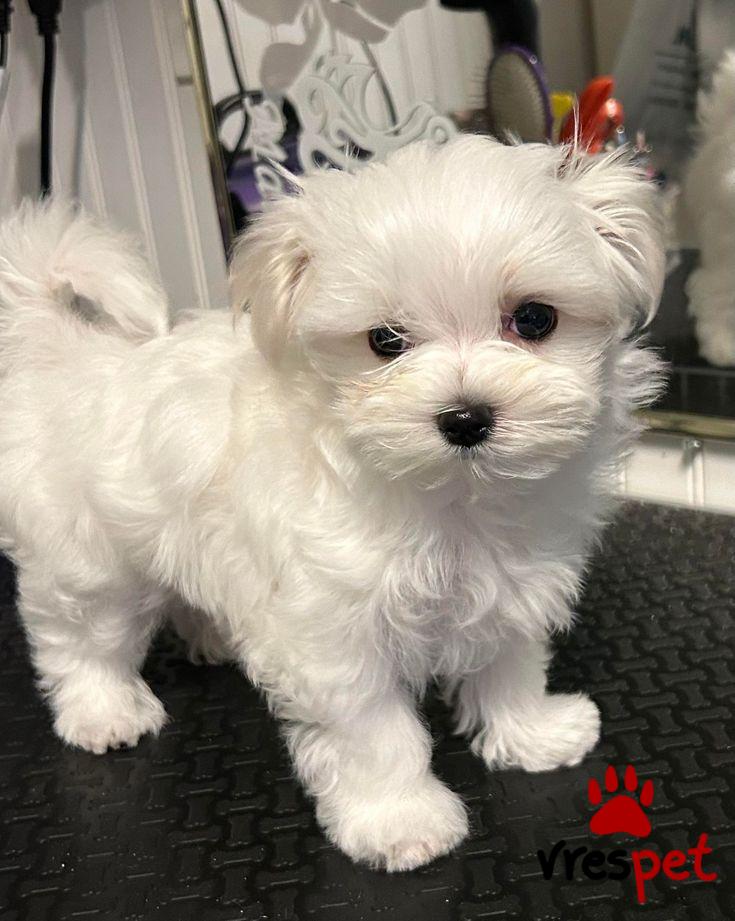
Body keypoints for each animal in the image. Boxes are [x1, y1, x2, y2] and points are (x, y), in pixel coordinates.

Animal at [0, 136, 664, 871]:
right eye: (385, 341)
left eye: (535, 318)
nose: (465, 418)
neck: (453, 498)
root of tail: (58, 352)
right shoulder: (335, 636)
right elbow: (377, 734)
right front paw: (399, 819)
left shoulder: (510, 585)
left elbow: (510, 665)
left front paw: (533, 733)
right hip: (87, 564)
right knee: (77, 638)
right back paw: (102, 710)